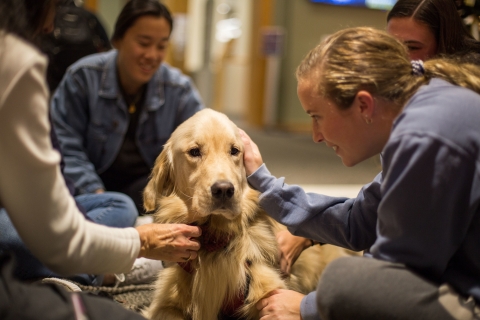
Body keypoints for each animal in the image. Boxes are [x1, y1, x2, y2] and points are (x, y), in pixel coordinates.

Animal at [142, 108, 356, 320]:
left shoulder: (269, 292)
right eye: (194, 152)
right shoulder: (165, 304)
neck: (215, 240)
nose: (224, 190)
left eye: (234, 151)